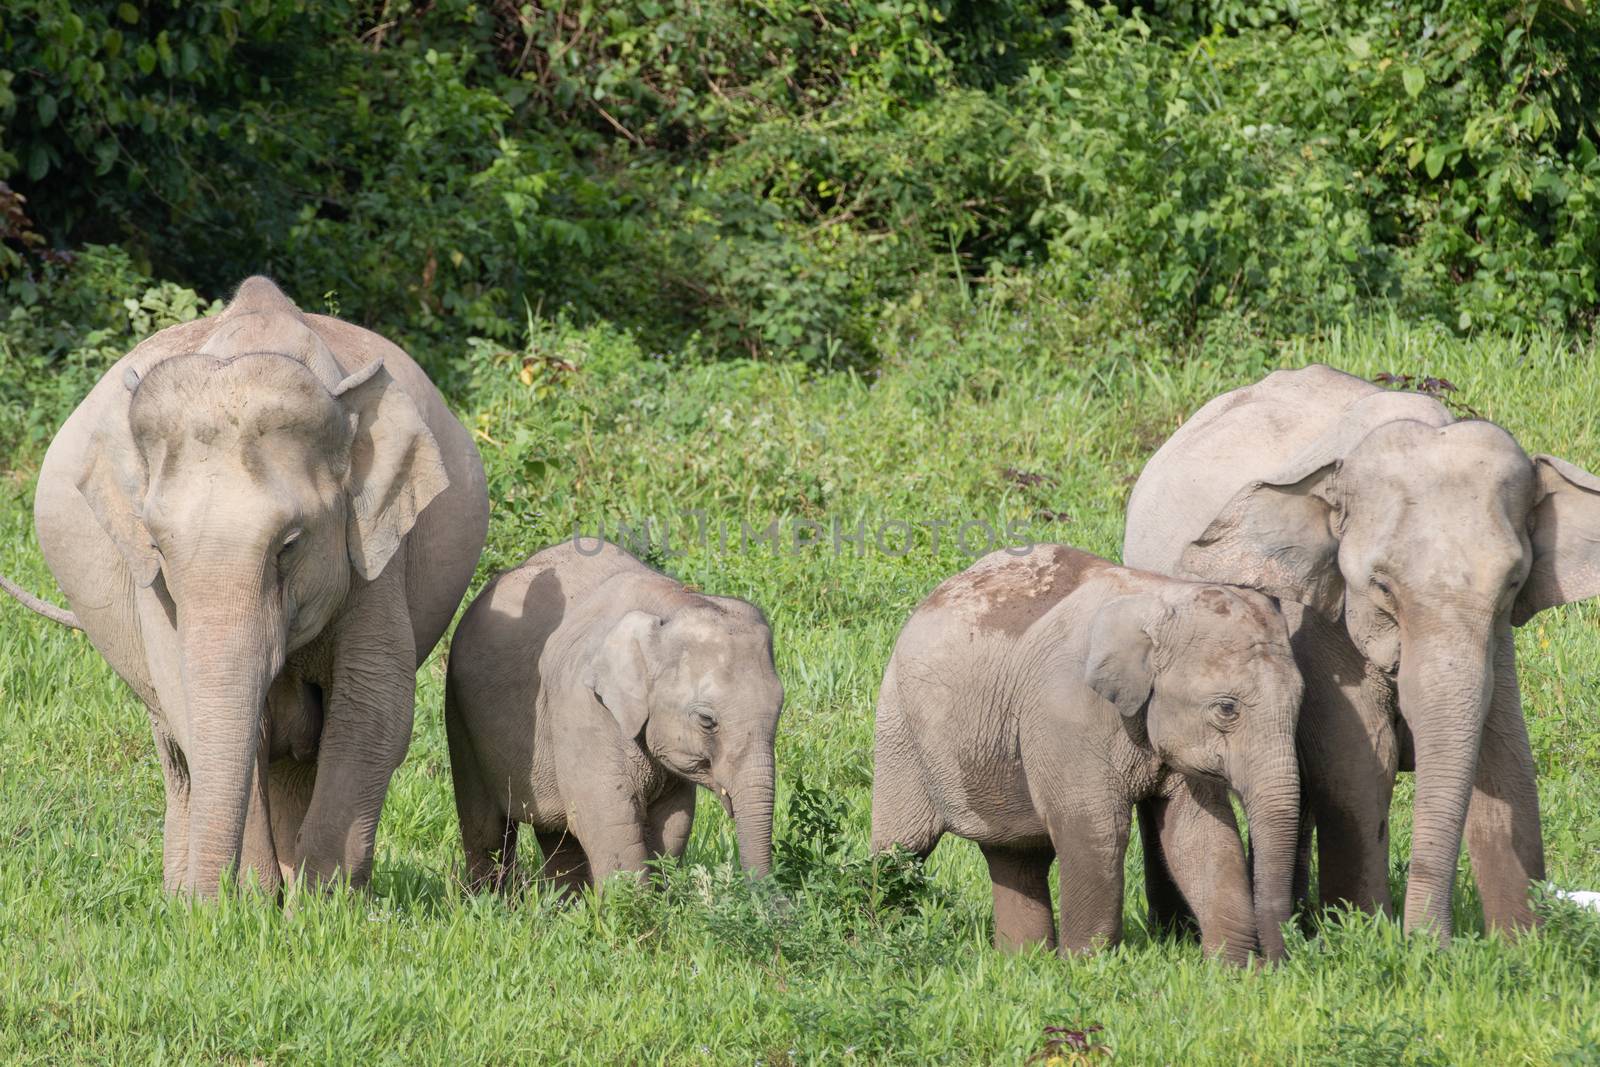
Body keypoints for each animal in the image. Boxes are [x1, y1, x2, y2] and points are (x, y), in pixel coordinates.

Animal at [1, 279, 486, 895]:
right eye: (158, 544)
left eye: (289, 544)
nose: (208, 909)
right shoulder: (153, 587)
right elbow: (197, 709)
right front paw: (252, 901)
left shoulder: (377, 555)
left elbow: (374, 713)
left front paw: (321, 904)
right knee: (179, 756)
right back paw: (184, 891)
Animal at [444, 537, 780, 895]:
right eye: (706, 720)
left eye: (778, 713)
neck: (675, 604)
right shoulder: (583, 708)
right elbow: (608, 820)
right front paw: (634, 906)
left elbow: (673, 821)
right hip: (460, 716)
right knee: (487, 827)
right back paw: (488, 899)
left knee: (557, 836)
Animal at [876, 547, 1299, 966]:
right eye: (1227, 709)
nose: (1277, 963)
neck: (1159, 601)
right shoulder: (1066, 712)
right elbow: (1097, 828)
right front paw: (1086, 967)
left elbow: (1201, 832)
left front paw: (1233, 970)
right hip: (898, 726)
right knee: (901, 848)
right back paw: (884, 939)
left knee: (1016, 856)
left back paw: (1021, 962)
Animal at [1120, 363, 1600, 940]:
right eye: (1381, 586)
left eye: (1512, 583)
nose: (1432, 941)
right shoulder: (1321, 619)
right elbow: (1358, 763)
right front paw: (1371, 934)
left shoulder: (1496, 638)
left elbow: (1505, 755)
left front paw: (1519, 943)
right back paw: (1179, 931)